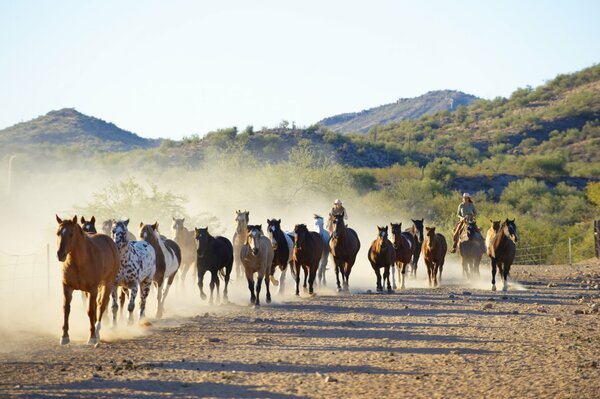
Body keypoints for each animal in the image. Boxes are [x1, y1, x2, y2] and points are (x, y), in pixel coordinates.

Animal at [56, 216, 120, 346]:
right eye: (58, 233)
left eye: (71, 234)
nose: (60, 254)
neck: (79, 261)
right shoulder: (67, 287)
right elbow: (66, 309)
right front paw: (64, 337)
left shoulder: (93, 289)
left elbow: (91, 311)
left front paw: (92, 337)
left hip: (107, 284)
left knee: (101, 305)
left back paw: (97, 331)